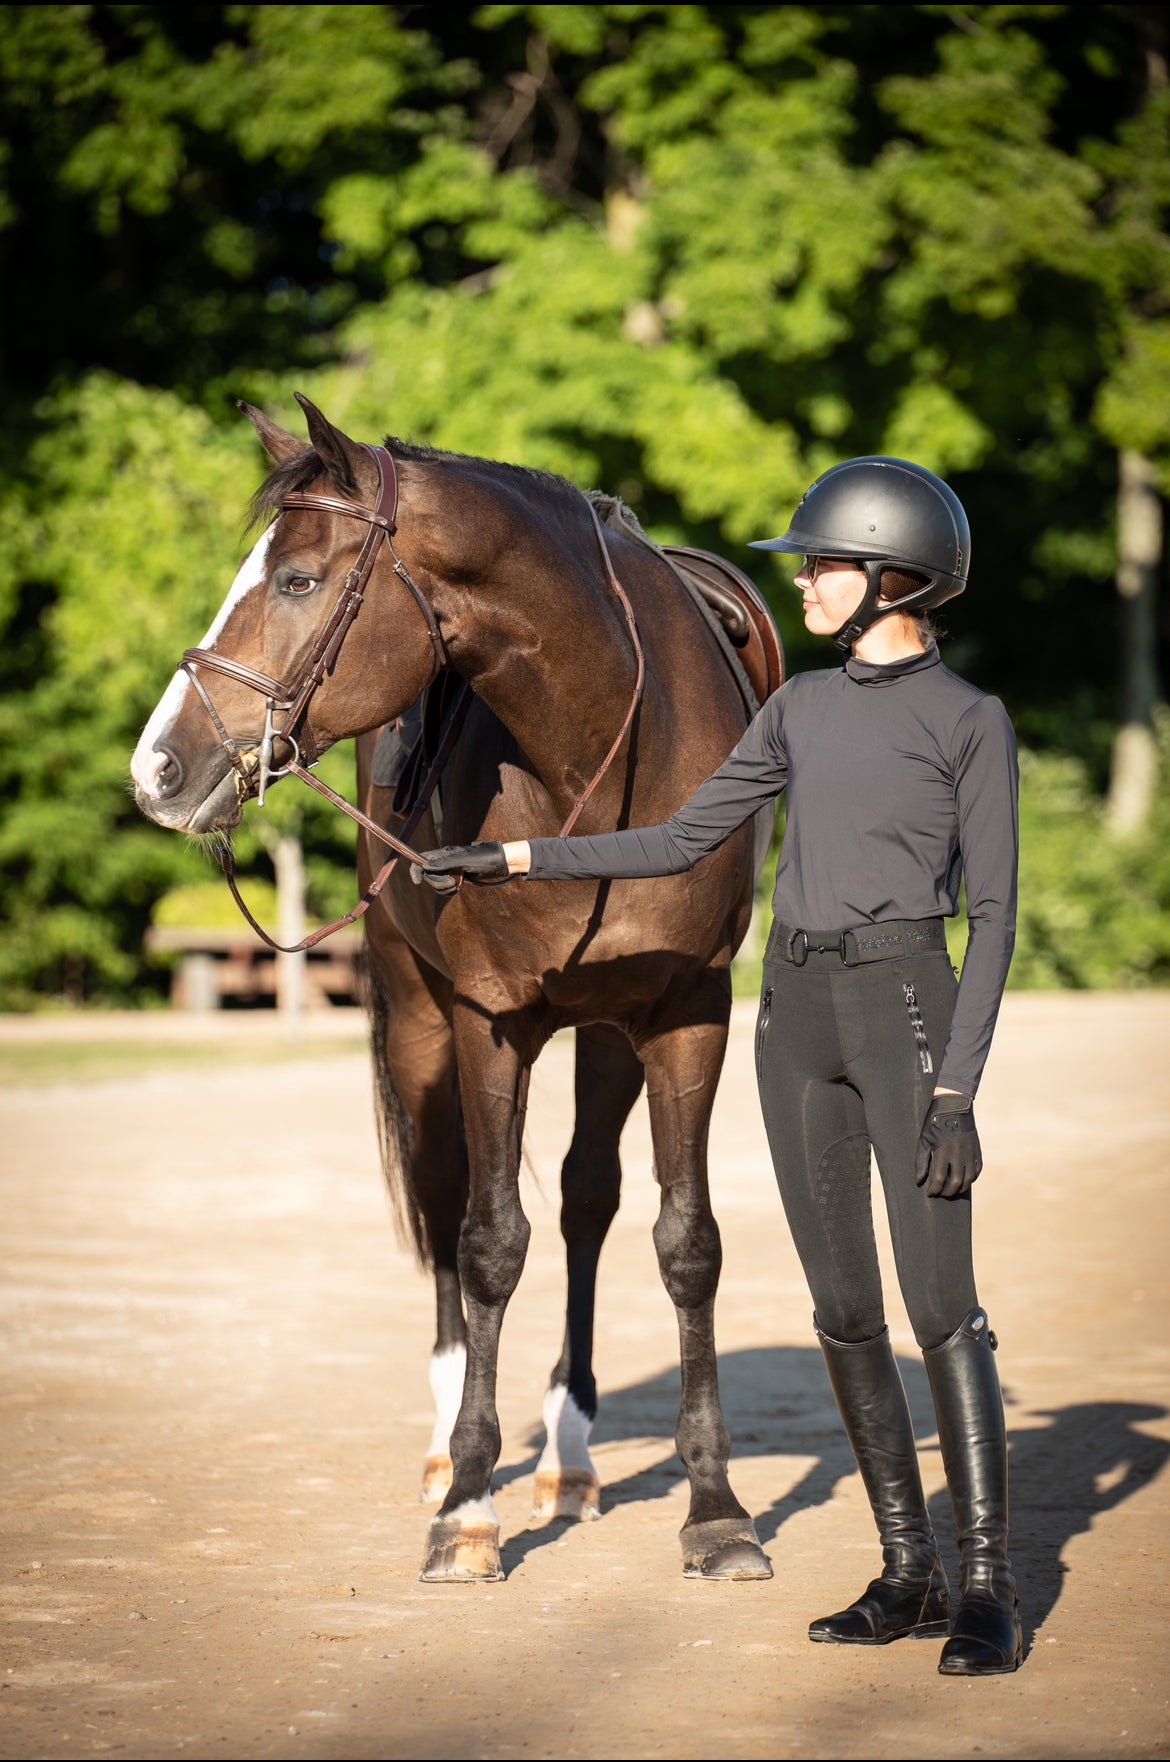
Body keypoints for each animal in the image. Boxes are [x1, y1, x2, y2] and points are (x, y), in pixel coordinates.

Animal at [130, 396, 785, 1585]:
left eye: (298, 579)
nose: (156, 768)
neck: (600, 754)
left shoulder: (687, 1012)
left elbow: (686, 1243)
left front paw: (715, 1508)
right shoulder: (490, 1021)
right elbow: (486, 1244)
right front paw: (469, 1509)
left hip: (604, 1034)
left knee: (584, 1201)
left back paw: (570, 1455)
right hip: (423, 1025)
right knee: (445, 1204)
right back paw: (447, 1455)